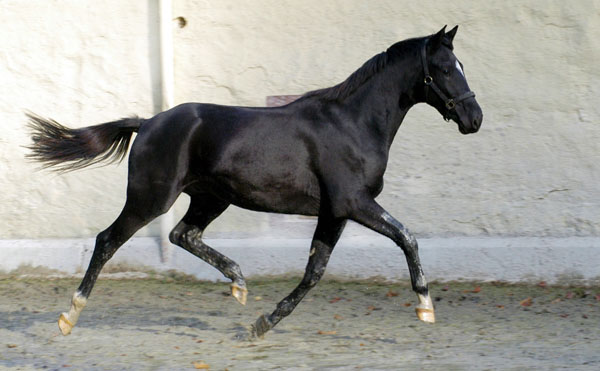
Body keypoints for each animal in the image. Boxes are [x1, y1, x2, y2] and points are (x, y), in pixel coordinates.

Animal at [28, 26, 482, 340]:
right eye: (445, 69)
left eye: (462, 66)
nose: (474, 118)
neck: (352, 123)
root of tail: (148, 122)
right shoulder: (353, 203)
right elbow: (406, 237)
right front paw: (425, 306)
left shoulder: (333, 212)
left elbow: (314, 271)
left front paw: (262, 323)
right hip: (151, 198)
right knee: (108, 240)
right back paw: (69, 316)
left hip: (210, 199)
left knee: (182, 235)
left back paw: (239, 284)